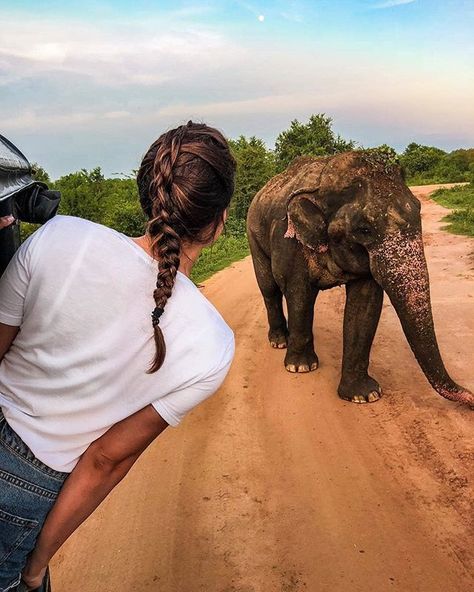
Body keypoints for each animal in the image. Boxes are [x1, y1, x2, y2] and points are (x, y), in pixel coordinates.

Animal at [246, 150, 472, 408]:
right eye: (364, 230)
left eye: (418, 211)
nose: (471, 397)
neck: (323, 182)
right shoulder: (290, 242)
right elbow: (299, 293)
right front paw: (300, 367)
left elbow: (364, 304)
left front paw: (363, 395)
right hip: (253, 234)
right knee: (269, 288)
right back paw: (279, 341)